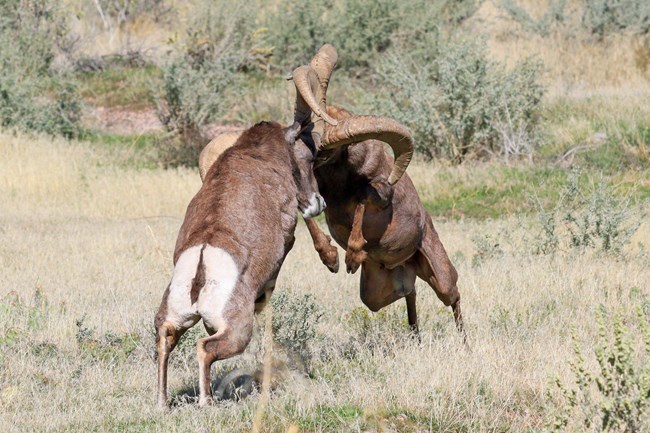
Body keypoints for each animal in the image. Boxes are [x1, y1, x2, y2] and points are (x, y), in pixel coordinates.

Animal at [153, 119, 324, 408]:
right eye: (308, 159)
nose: (318, 203)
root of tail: (202, 266)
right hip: (236, 333)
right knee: (205, 348)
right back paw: (207, 402)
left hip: (175, 319)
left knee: (165, 339)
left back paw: (162, 404)